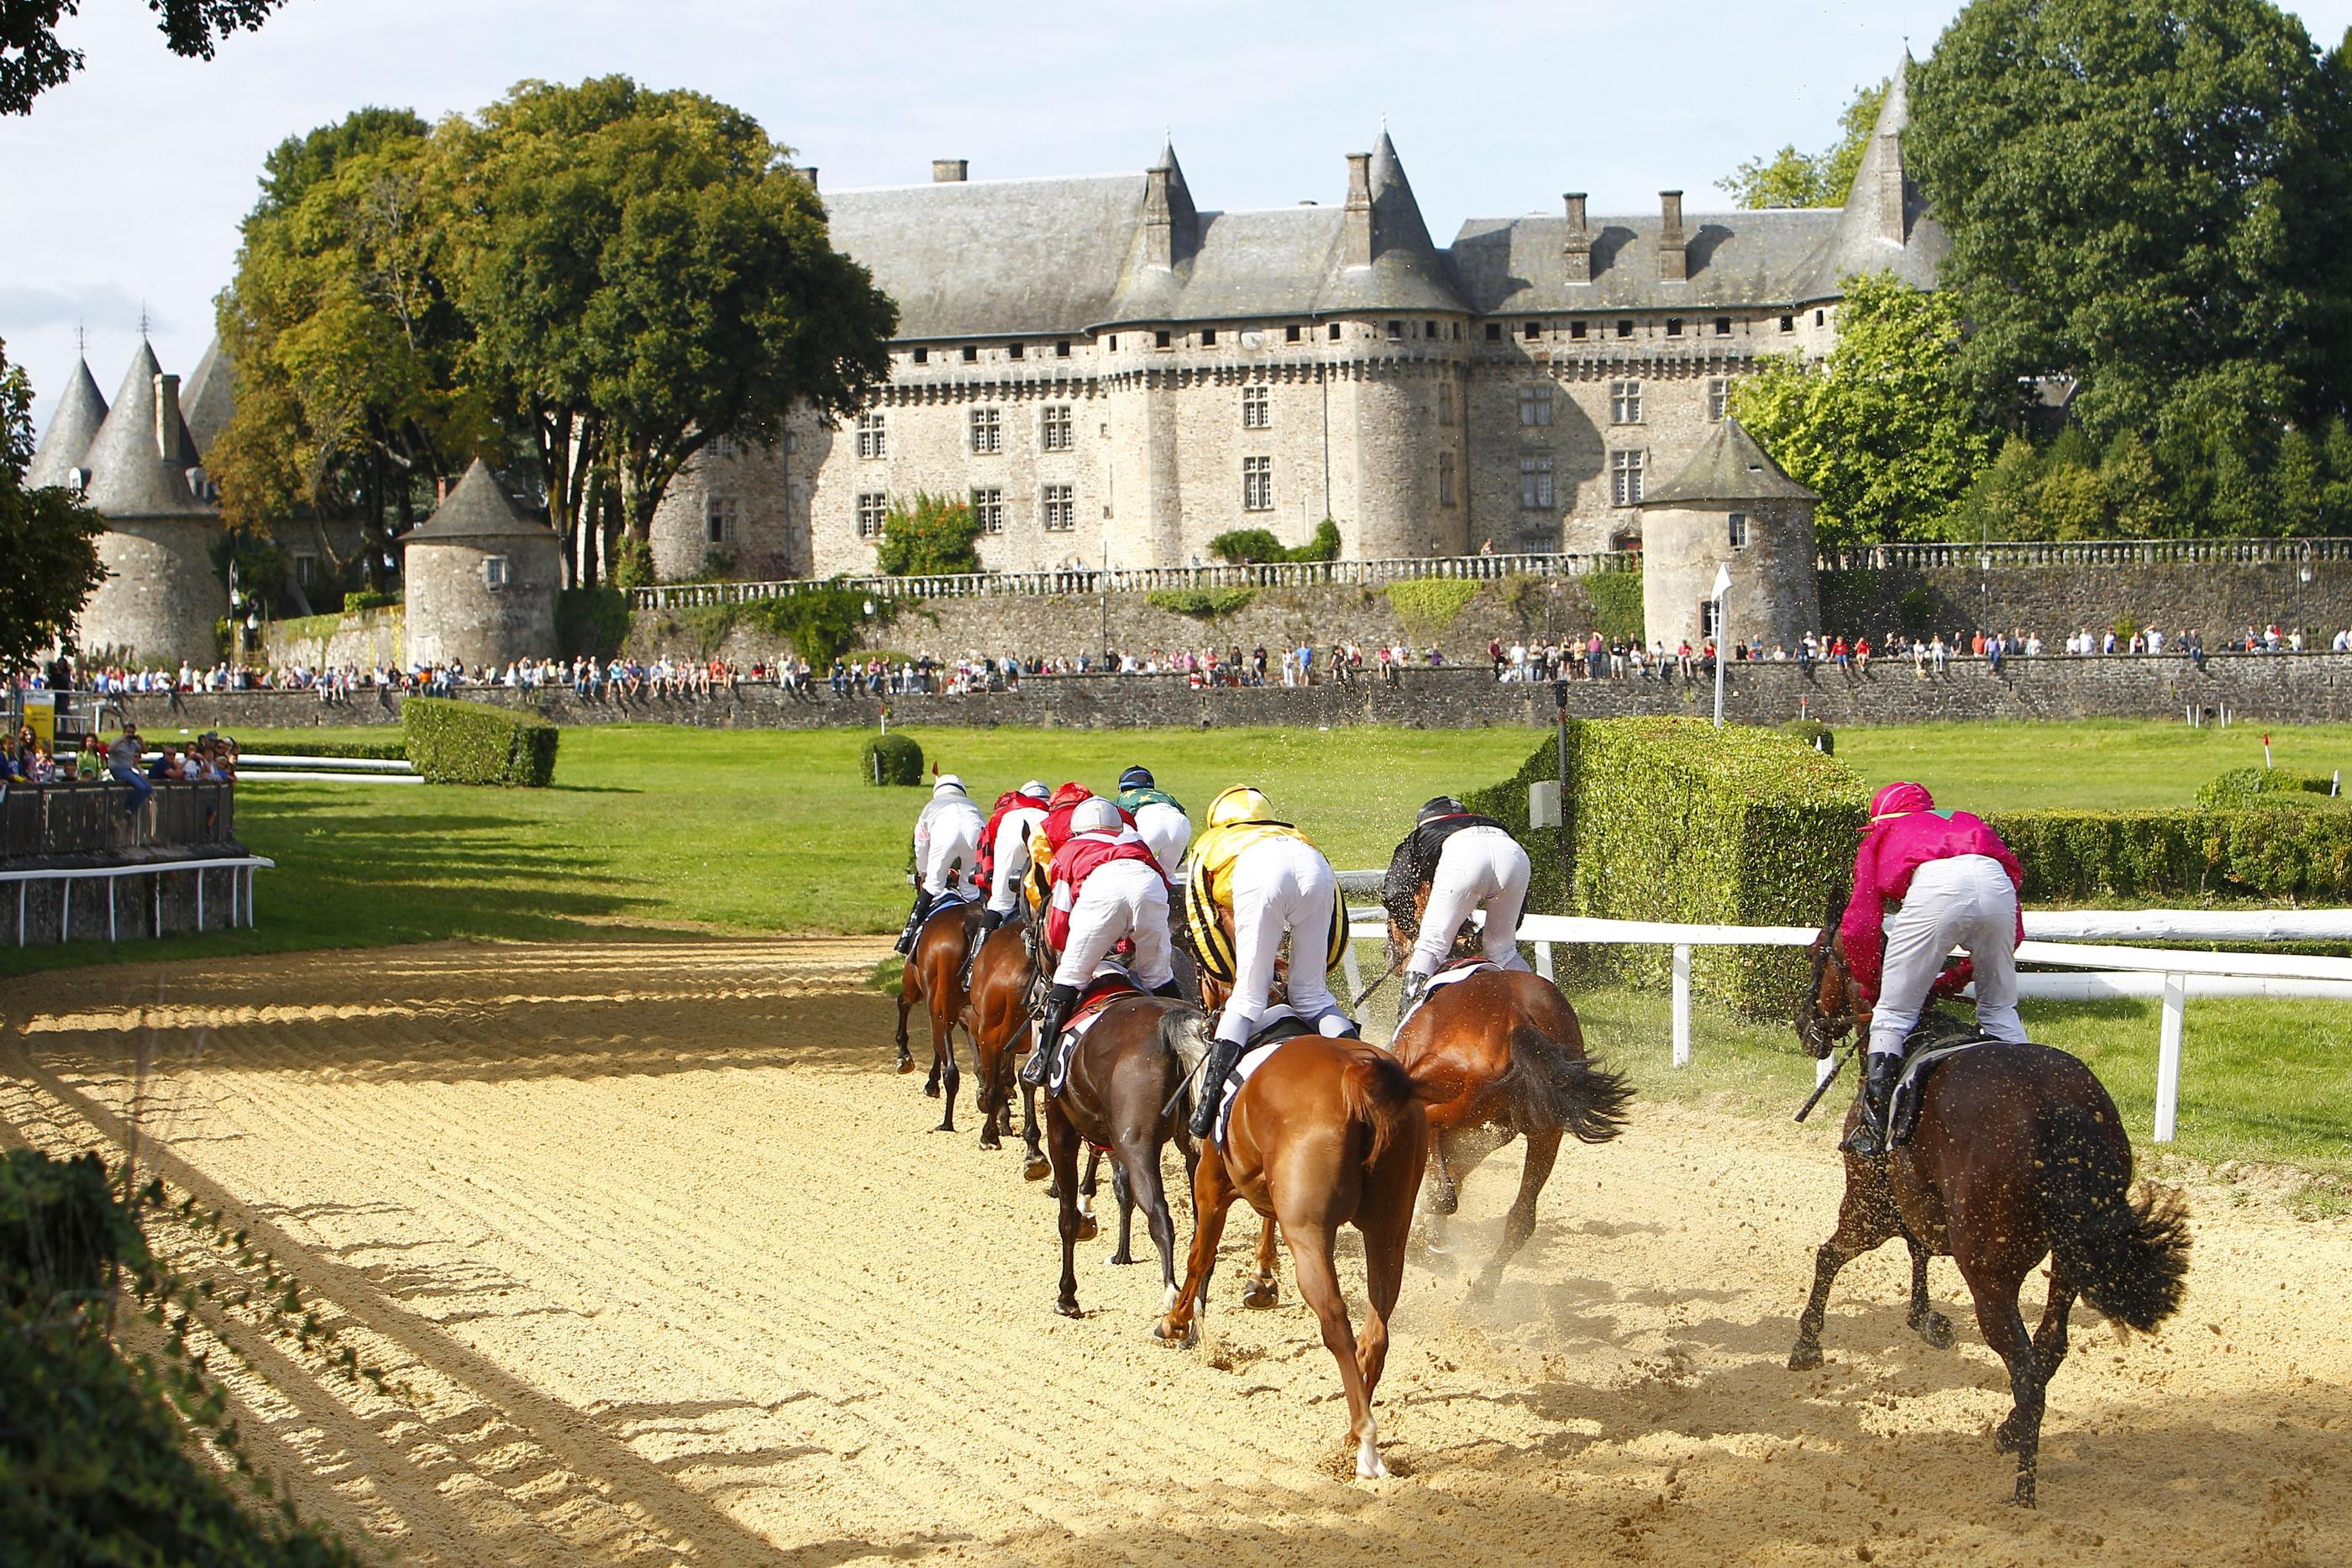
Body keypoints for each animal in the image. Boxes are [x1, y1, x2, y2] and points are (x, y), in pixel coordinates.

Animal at [1152, 1025, 1420, 1476]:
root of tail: (1356, 1078)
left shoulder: (1211, 1186)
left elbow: (1199, 1256)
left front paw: (1175, 1320)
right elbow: (1261, 1225)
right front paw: (1260, 1280)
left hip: (1309, 1233)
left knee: (1335, 1319)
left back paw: (1365, 1441)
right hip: (1389, 1229)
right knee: (1376, 1333)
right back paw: (1352, 1433)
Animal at [1383, 968, 1627, 1298]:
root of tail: (1519, 1018)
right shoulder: (1481, 1137)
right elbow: (1452, 1177)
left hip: (1449, 1101)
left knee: (1442, 1186)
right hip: (1545, 1133)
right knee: (1520, 1218)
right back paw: (1482, 1287)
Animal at [1788, 921, 2192, 1504]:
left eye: (1816, 954)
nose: (1805, 1027)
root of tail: (2055, 1105)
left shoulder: (1870, 1206)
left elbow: (1829, 1256)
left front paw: (1807, 1343)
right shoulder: (1921, 1206)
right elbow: (1917, 1249)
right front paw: (1926, 1318)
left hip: (1988, 1271)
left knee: (2024, 1366)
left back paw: (2023, 1488)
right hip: (2068, 1262)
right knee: (2049, 1350)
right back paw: (2011, 1430)